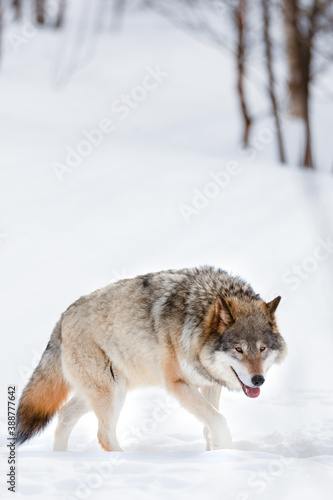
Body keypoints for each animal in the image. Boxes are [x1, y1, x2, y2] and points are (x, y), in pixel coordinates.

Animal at [14, 268, 286, 452]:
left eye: (262, 348)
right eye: (238, 349)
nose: (258, 380)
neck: (196, 320)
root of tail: (63, 317)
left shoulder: (210, 384)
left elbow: (210, 424)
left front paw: (217, 455)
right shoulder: (177, 385)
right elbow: (218, 420)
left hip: (106, 391)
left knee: (64, 415)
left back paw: (62, 458)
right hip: (112, 394)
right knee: (103, 434)